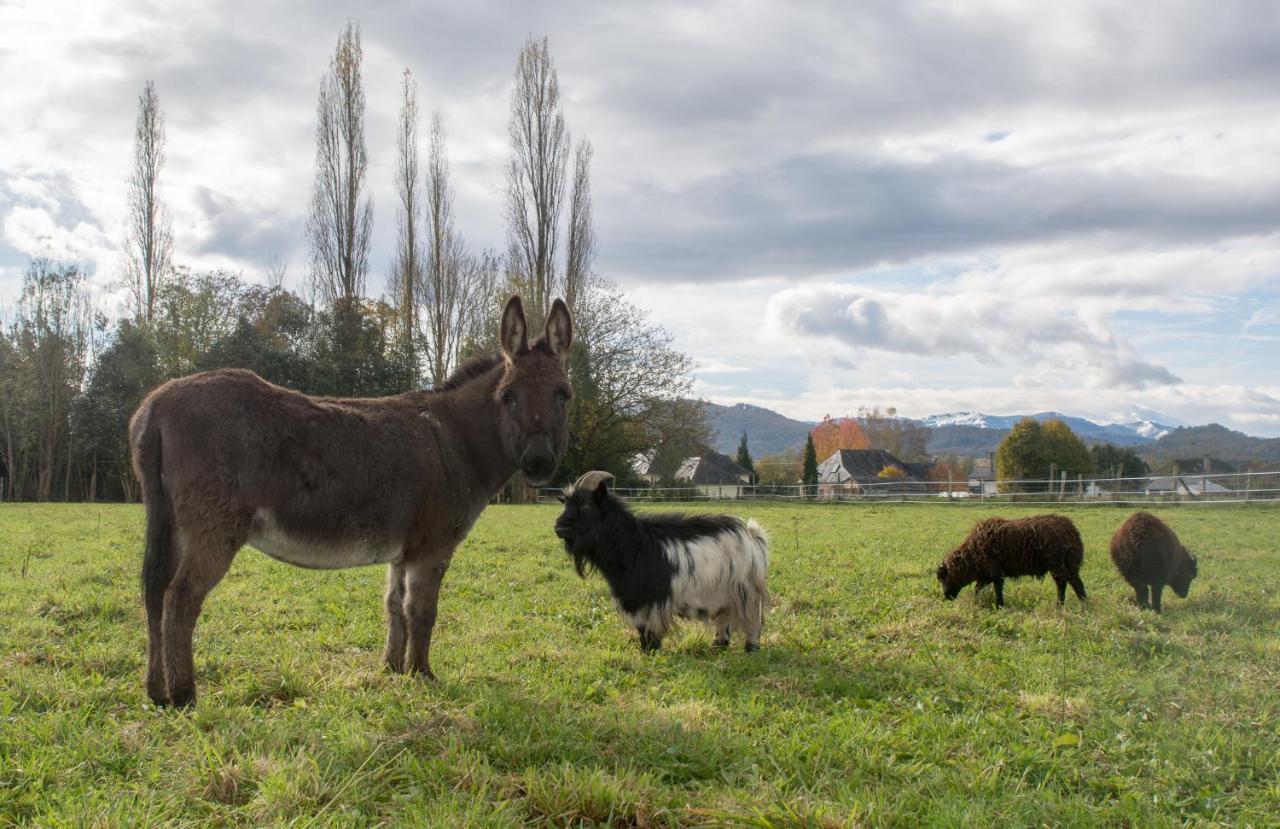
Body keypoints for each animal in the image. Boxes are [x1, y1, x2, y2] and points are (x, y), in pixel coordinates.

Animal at [552, 473, 768, 655]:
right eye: (566, 504)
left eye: (585, 506)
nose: (558, 527)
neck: (632, 544)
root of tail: (751, 535)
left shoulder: (650, 600)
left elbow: (649, 627)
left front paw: (651, 650)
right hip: (724, 594)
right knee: (724, 618)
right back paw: (718, 644)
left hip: (745, 591)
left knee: (751, 619)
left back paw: (751, 647)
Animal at [936, 514, 1085, 606]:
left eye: (944, 579)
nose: (946, 598)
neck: (971, 556)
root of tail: (1074, 531)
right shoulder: (986, 575)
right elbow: (978, 588)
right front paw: (978, 600)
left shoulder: (995, 572)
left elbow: (996, 589)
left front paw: (999, 605)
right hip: (1060, 566)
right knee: (1062, 584)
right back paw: (1060, 605)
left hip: (1060, 564)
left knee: (1075, 583)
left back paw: (1083, 604)